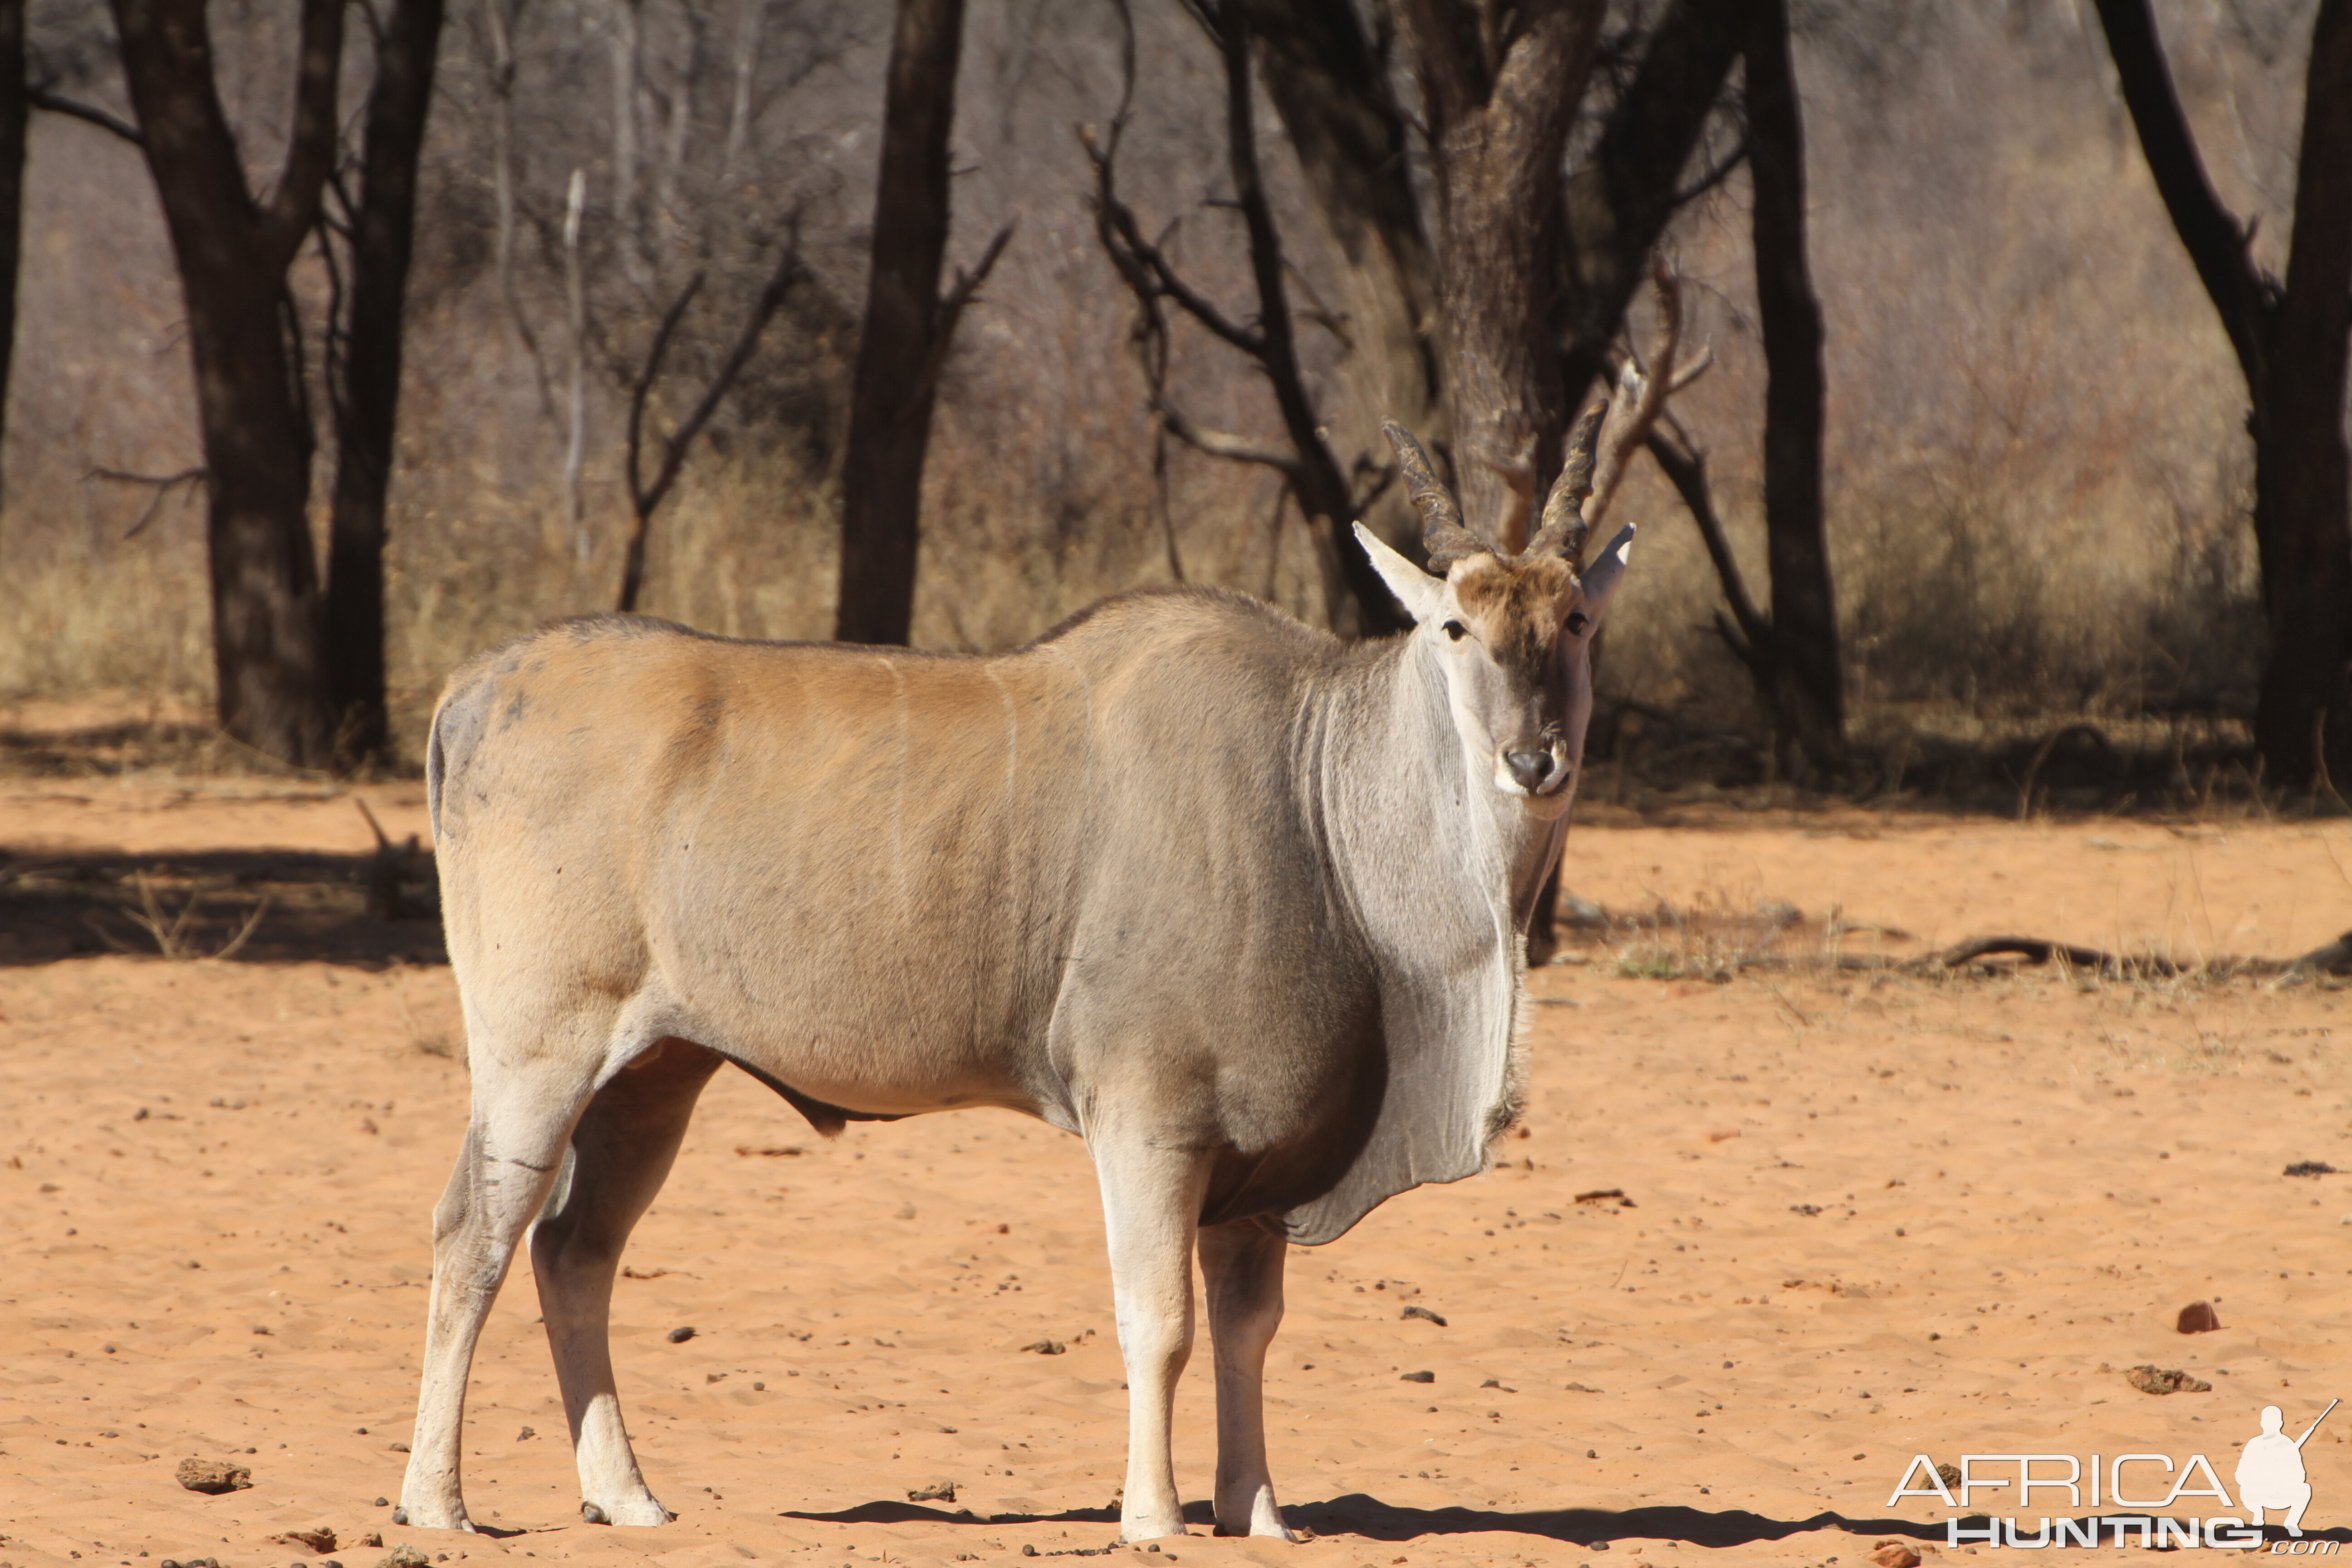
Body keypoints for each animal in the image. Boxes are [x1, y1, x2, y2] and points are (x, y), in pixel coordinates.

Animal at [395, 404, 1637, 1542]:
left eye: (1575, 617)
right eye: (1454, 625)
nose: (1533, 758)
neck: (1314, 785)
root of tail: (472, 690)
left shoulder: (1255, 1172)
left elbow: (1248, 1331)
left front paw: (1259, 1513)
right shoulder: (1149, 1120)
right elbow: (1159, 1321)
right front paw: (1152, 1516)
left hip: (656, 1074)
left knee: (574, 1251)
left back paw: (627, 1496)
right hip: (541, 1055)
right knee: (473, 1234)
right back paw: (438, 1502)